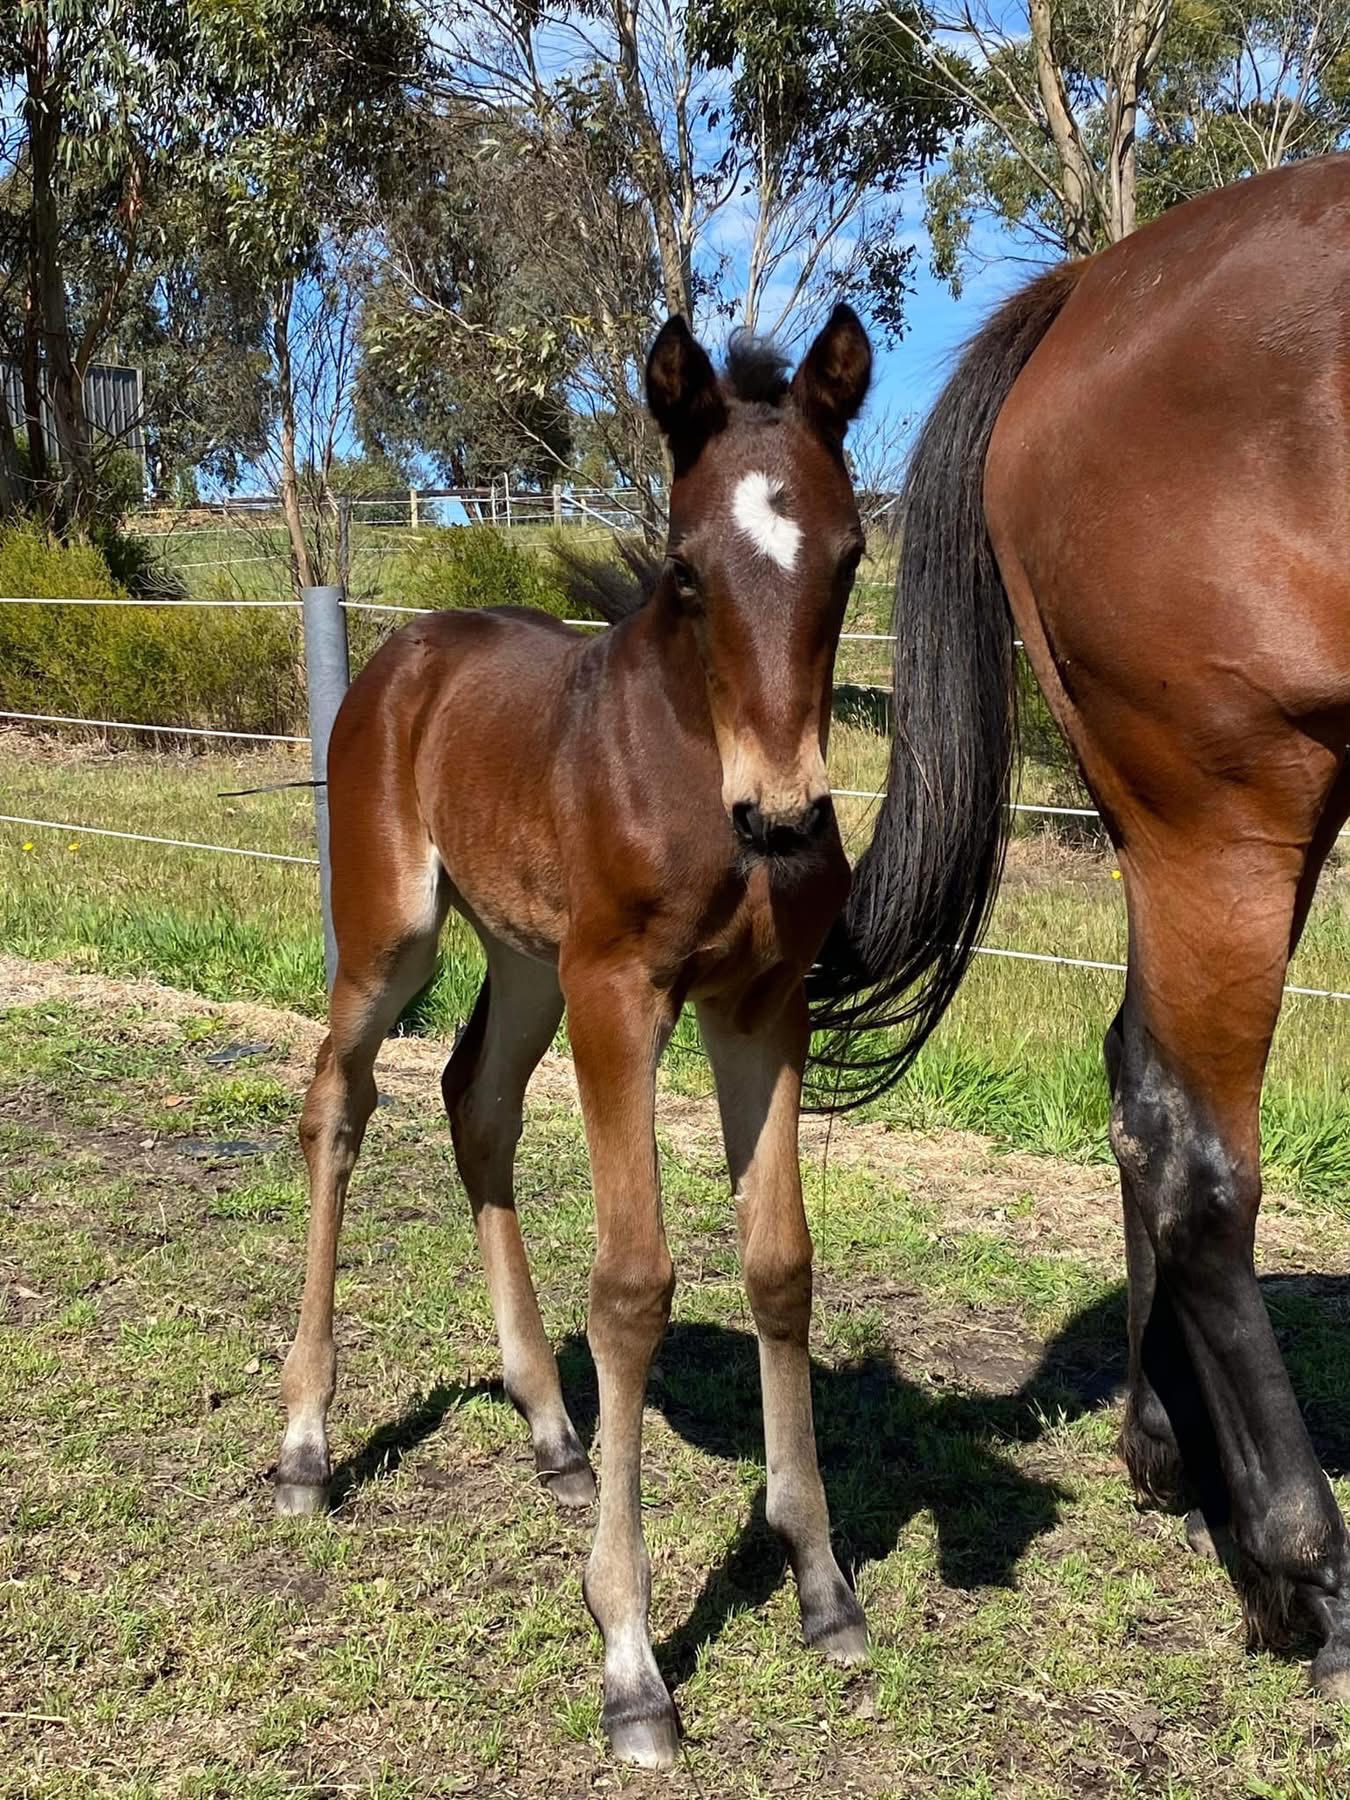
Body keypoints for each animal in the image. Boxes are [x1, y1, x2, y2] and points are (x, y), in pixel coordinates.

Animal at [274, 306, 875, 1765]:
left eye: (848, 558)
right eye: (687, 570)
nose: (785, 816)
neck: (697, 768)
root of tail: (402, 654)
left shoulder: (758, 1005)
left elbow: (779, 1263)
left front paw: (820, 1584)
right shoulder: (624, 996)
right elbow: (635, 1285)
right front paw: (629, 1658)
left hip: (527, 962)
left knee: (472, 1100)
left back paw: (551, 1427)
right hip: (397, 938)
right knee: (338, 1099)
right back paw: (309, 1442)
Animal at [808, 152, 1350, 1698]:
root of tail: (1089, 289)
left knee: (1136, 1085)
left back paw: (1175, 1453)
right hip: (1232, 808)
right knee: (1193, 1156)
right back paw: (1300, 1570)